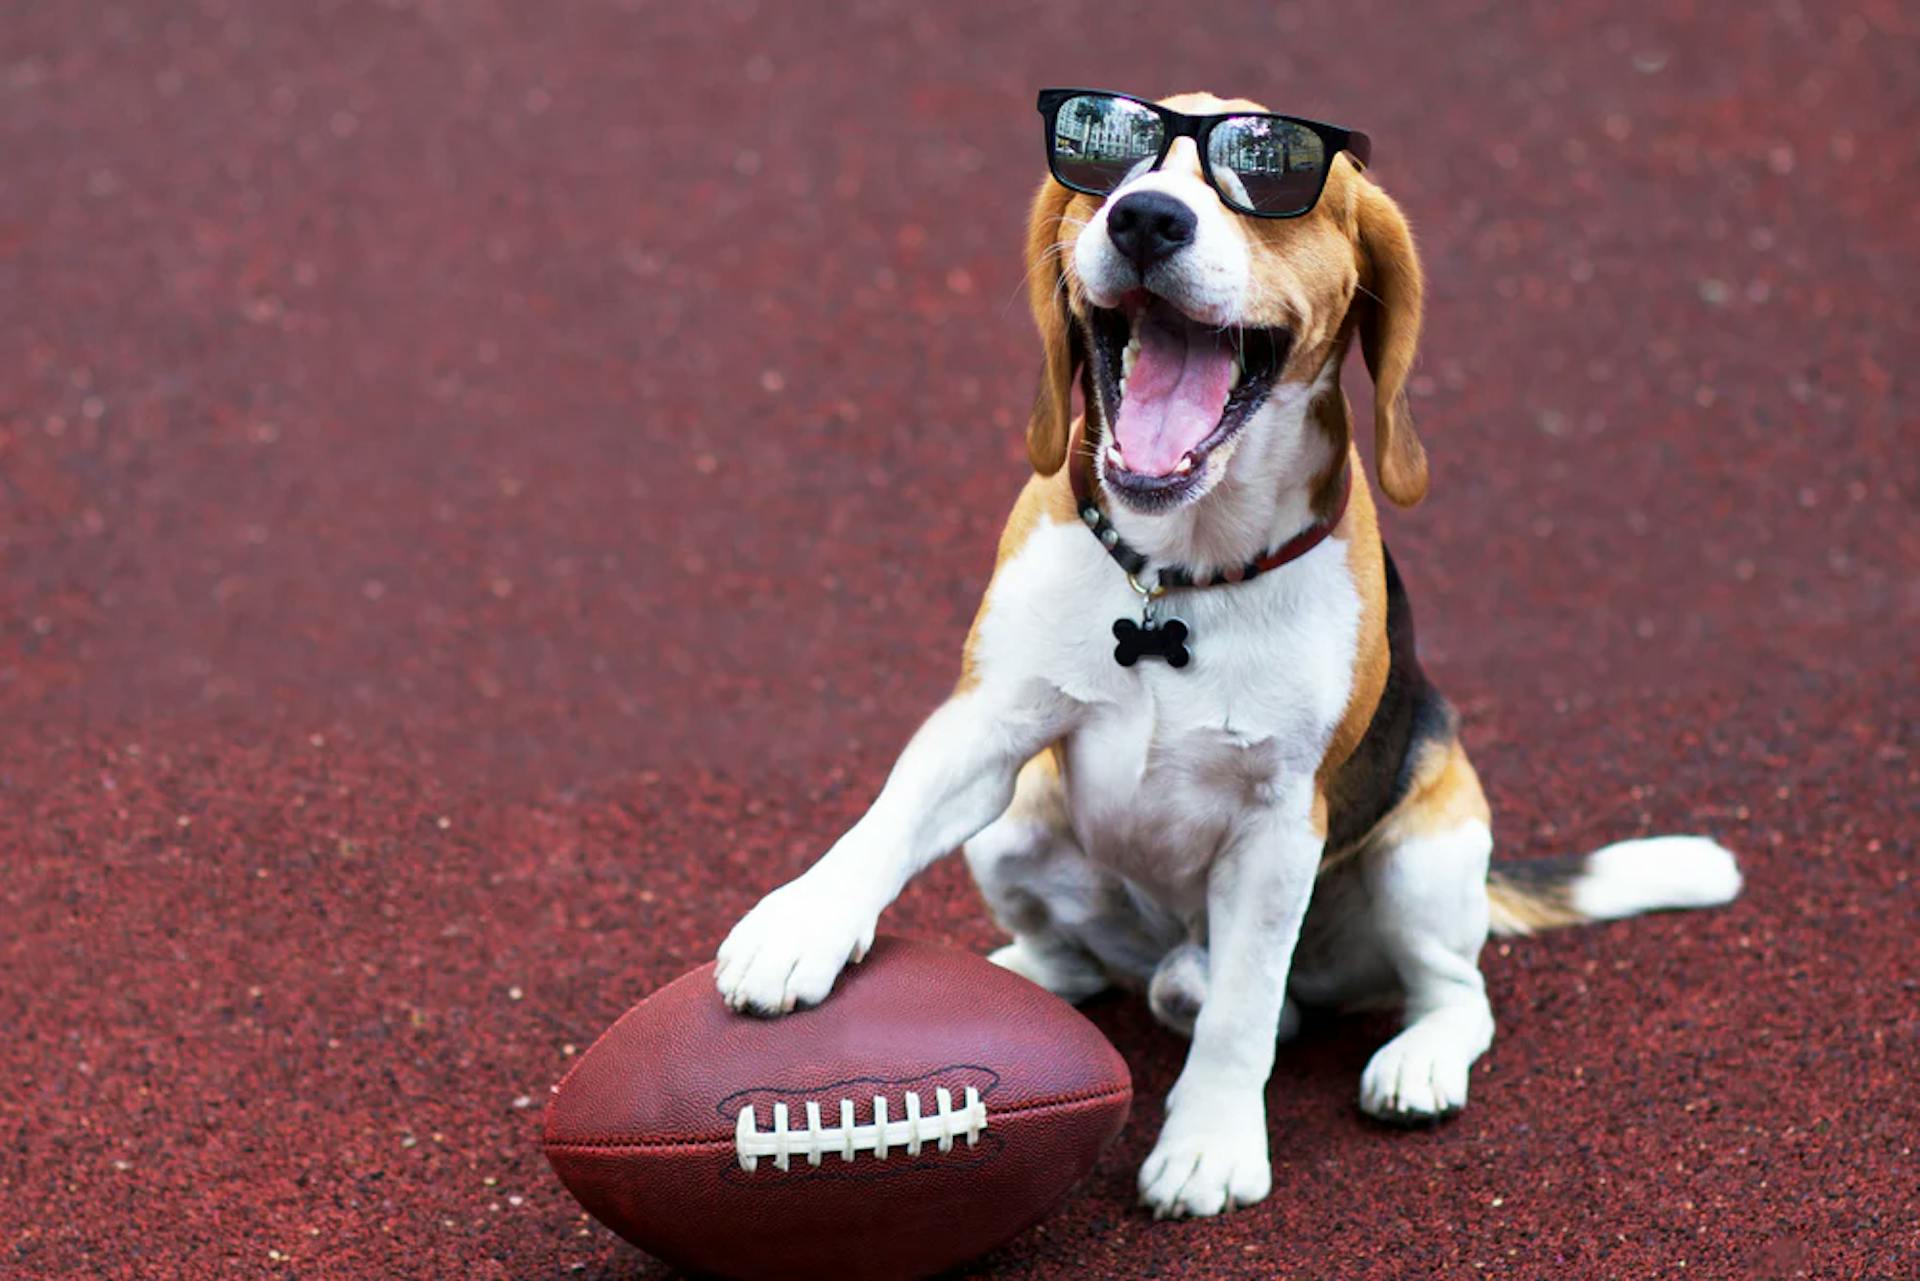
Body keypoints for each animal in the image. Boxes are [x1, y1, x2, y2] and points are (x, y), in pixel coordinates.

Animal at [718, 92, 1743, 1221]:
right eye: (1111, 161)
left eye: (1270, 173)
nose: (1146, 219)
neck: (1176, 576)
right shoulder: (985, 722)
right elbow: (884, 823)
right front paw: (801, 924)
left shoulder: (1278, 827)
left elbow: (1245, 1010)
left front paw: (1208, 1143)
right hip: (1016, 830)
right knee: (1087, 965)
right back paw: (1020, 978)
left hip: (1424, 851)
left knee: (1447, 992)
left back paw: (1417, 1060)